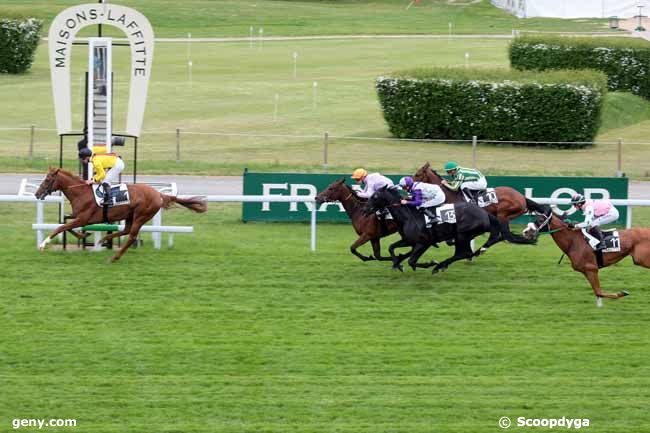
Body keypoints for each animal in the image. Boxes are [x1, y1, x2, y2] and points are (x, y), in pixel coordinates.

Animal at [34, 167, 205, 262]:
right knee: (126, 230)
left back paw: (114, 257)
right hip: (130, 215)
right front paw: (84, 235)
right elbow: (66, 227)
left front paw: (42, 244)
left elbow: (61, 228)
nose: (37, 194)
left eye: (48, 179)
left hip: (141, 215)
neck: (81, 192)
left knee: (131, 237)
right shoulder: (80, 218)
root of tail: (159, 194)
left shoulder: (83, 218)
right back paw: (104, 240)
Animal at [360, 186, 532, 274]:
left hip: (462, 234)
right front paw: (397, 263)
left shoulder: (423, 243)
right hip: (464, 236)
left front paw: (428, 263)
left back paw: (439, 266)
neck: (408, 216)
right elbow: (392, 248)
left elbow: (412, 260)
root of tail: (484, 213)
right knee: (466, 252)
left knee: (464, 253)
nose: (364, 210)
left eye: (375, 196)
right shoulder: (408, 241)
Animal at [520, 208, 648, 304]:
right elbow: (598, 292)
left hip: (640, 259)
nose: (525, 232)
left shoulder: (591, 268)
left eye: (541, 219)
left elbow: (599, 292)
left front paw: (622, 293)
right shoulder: (586, 271)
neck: (573, 241)